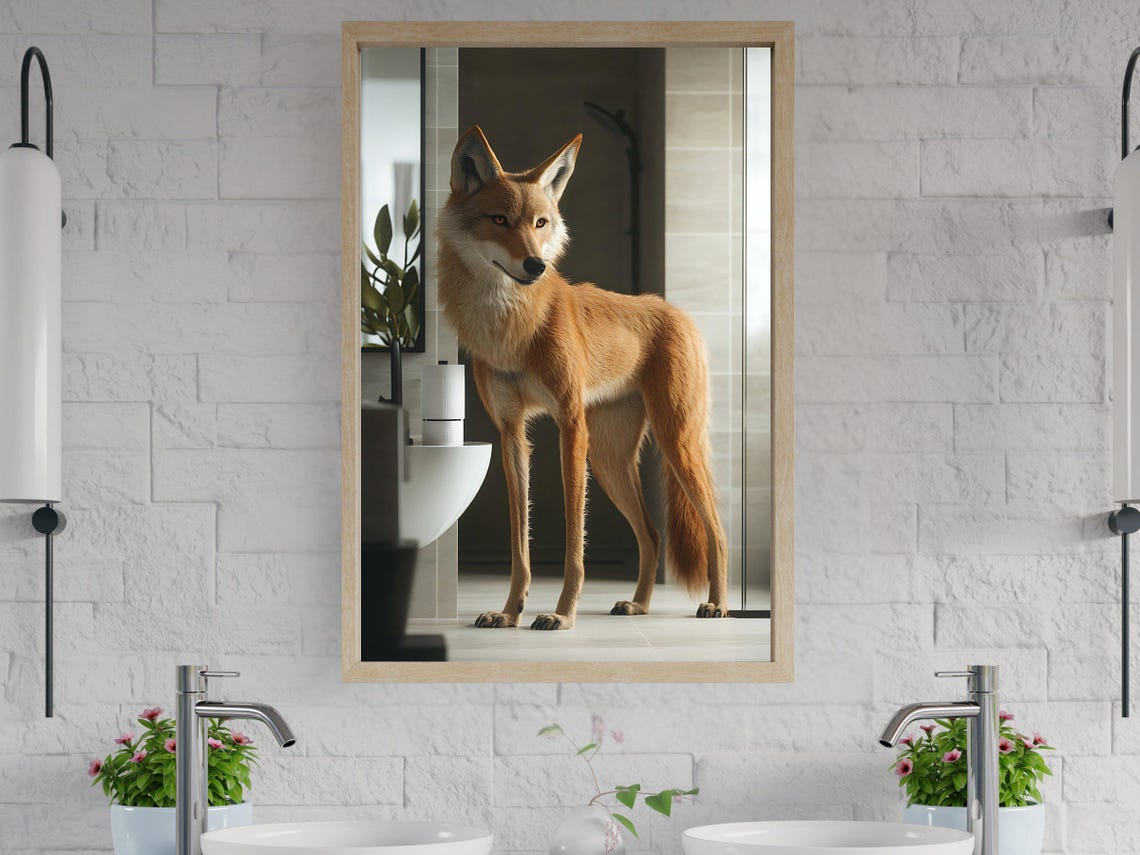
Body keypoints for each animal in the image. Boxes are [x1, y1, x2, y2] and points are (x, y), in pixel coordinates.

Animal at [437, 125, 728, 630]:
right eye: (500, 219)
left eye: (540, 223)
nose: (535, 266)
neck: (513, 329)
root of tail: (679, 313)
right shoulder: (512, 434)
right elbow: (520, 545)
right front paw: (510, 612)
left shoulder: (570, 425)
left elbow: (575, 540)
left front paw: (562, 614)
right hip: (611, 462)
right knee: (651, 533)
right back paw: (638, 605)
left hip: (674, 444)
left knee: (717, 530)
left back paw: (718, 605)